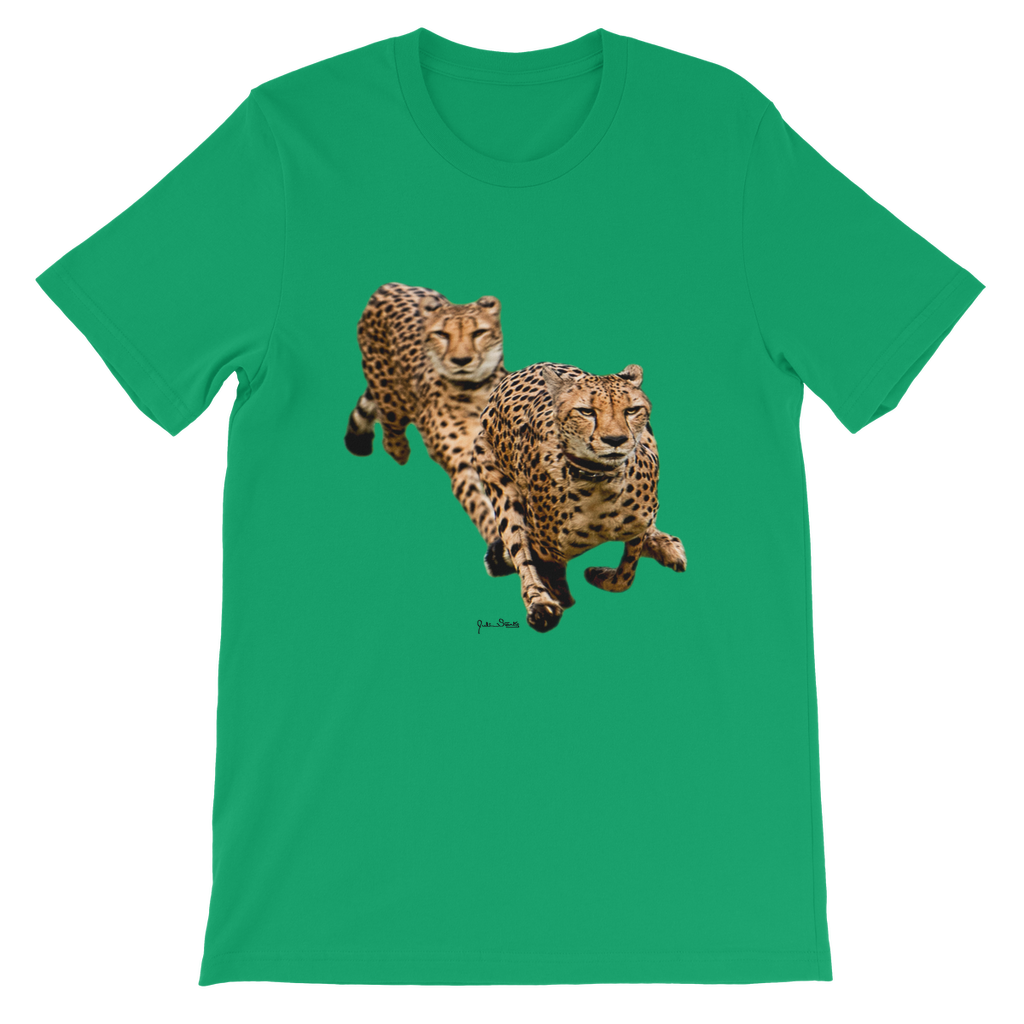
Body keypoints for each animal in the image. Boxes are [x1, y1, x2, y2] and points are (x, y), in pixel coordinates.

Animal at [345, 282, 507, 546]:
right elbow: (482, 508)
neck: (475, 390)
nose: (461, 360)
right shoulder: (462, 466)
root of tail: (389, 285)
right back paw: (400, 450)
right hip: (389, 396)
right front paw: (496, 540)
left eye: (478, 333)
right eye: (442, 334)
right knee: (390, 431)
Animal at [472, 361, 687, 632]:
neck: (599, 481)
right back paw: (540, 604)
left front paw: (598, 574)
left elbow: (626, 575)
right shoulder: (545, 549)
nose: (615, 440)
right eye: (586, 412)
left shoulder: (638, 523)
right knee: (519, 548)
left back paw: (666, 545)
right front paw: (558, 597)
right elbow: (546, 569)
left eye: (631, 410)